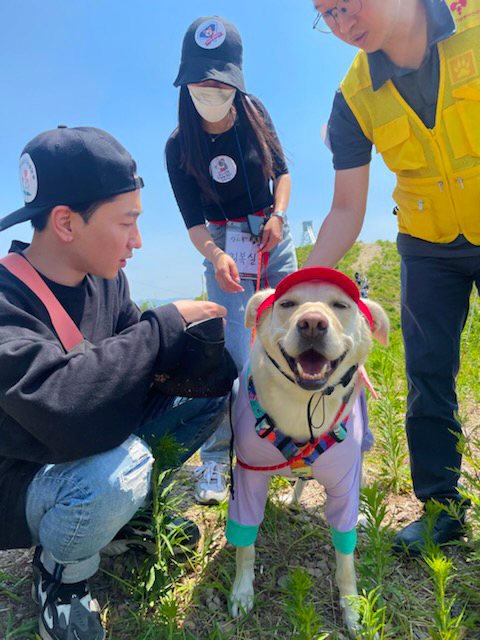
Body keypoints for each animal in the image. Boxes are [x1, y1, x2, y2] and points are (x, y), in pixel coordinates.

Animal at [226, 266, 390, 636]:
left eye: (341, 305)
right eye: (287, 303)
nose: (312, 323)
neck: (301, 404)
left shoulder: (343, 484)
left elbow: (345, 560)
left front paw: (352, 609)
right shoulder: (247, 477)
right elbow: (245, 545)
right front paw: (241, 592)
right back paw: (294, 497)